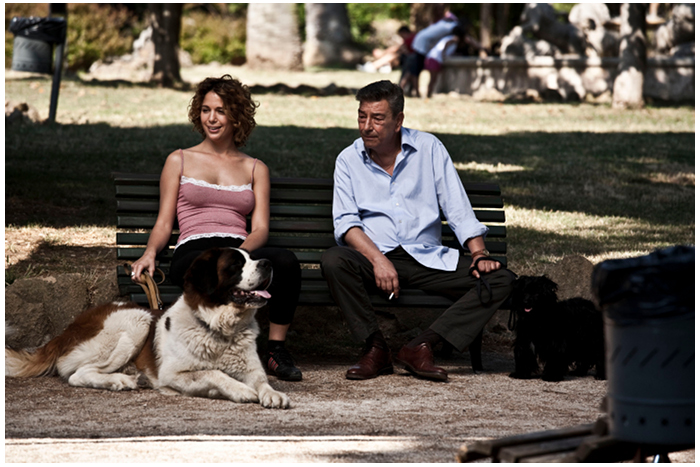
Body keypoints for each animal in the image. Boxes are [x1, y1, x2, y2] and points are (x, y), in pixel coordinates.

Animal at [5, 247, 290, 409]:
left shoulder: (251, 368)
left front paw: (272, 393)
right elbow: (214, 373)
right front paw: (242, 390)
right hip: (136, 321)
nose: (268, 263)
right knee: (77, 374)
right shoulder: (172, 374)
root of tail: (67, 329)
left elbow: (262, 380)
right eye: (236, 264)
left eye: (252, 258)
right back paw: (119, 381)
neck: (220, 330)